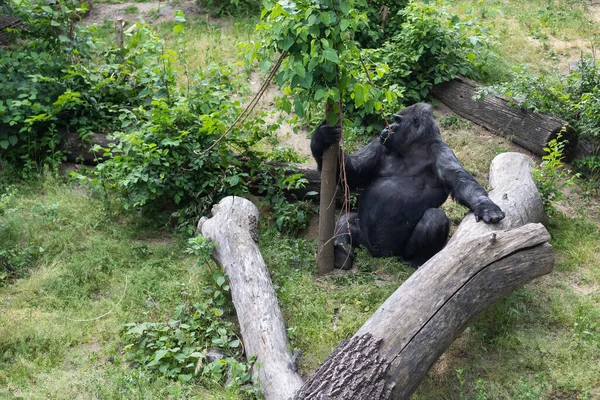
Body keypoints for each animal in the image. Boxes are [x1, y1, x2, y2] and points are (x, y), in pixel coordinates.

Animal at [312, 101, 504, 270]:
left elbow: (461, 181)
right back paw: (341, 254)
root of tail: (379, 255)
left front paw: (486, 206)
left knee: (434, 218)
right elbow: (353, 172)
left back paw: (417, 260)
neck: (414, 147)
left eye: (397, 121)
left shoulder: (442, 152)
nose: (387, 128)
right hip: (364, 242)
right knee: (347, 220)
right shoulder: (379, 144)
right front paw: (320, 139)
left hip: (400, 252)